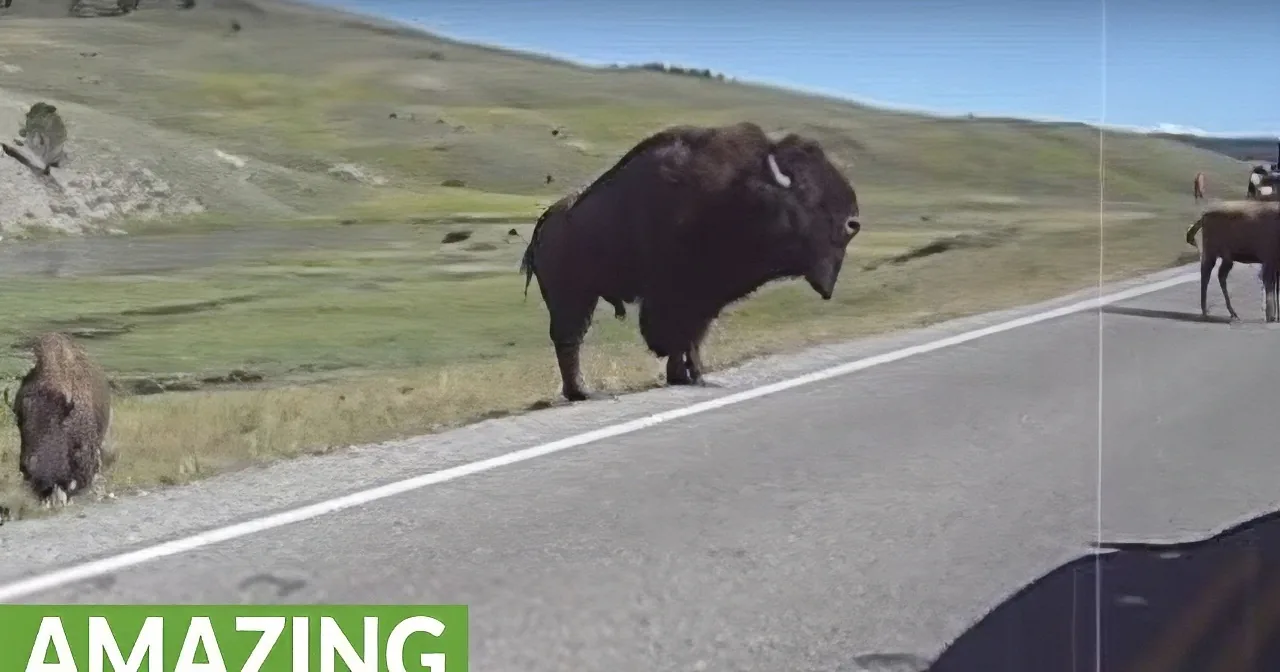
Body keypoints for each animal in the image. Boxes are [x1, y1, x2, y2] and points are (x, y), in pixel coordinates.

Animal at [520, 121, 862, 402]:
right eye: (809, 194)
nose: (852, 223)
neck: (736, 192)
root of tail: (544, 223)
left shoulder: (705, 299)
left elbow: (691, 338)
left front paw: (690, 375)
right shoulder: (678, 296)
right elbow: (677, 335)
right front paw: (688, 376)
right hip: (573, 297)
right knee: (569, 340)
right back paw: (582, 393)